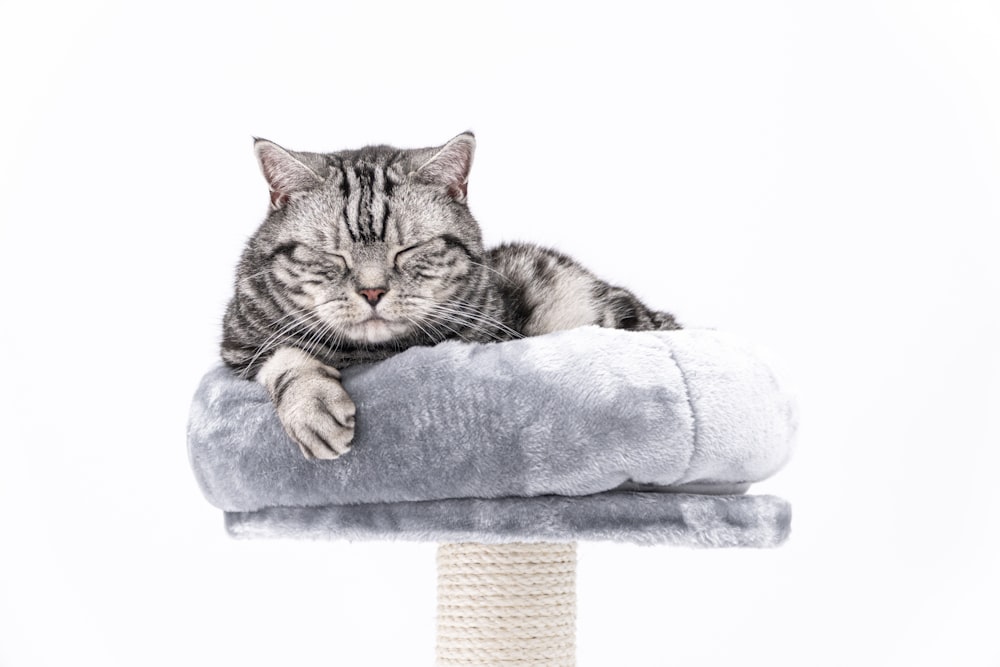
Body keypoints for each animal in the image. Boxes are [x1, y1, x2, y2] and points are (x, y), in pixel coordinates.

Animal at [223, 134, 680, 462]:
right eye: (333, 254)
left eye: (407, 250)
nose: (372, 290)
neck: (371, 355)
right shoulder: (238, 347)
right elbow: (285, 359)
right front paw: (313, 404)